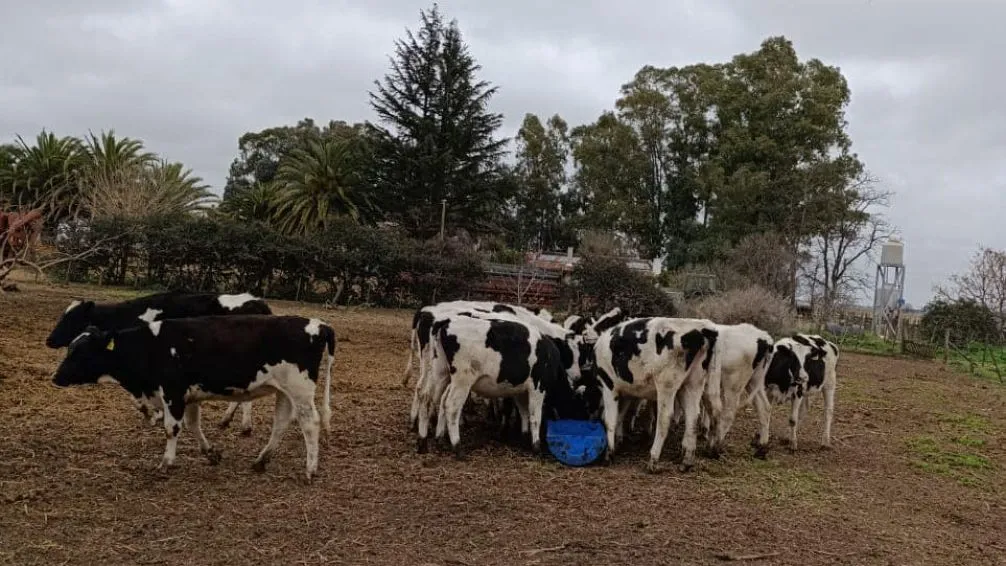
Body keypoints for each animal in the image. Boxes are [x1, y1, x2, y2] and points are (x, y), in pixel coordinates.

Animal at [46, 291, 271, 434]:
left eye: (71, 318)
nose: (49, 340)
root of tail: (258, 302)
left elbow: (139, 399)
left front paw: (153, 415)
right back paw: (229, 421)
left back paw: (244, 425)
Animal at [51, 313, 336, 482]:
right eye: (70, 348)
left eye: (80, 352)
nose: (55, 377)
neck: (151, 346)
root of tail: (318, 324)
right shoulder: (189, 396)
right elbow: (192, 425)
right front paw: (210, 454)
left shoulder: (172, 393)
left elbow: (172, 428)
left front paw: (166, 463)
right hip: (284, 391)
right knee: (281, 424)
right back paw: (261, 460)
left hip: (300, 389)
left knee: (310, 424)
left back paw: (310, 469)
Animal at [418, 317, 571, 458]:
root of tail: (446, 323)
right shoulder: (538, 388)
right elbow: (535, 417)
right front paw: (536, 446)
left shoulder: (520, 390)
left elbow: (524, 412)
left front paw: (523, 437)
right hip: (462, 381)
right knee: (451, 406)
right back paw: (457, 447)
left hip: (441, 373)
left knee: (429, 398)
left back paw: (427, 441)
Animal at [587, 317, 724, 472]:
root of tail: (704, 328)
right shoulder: (627, 391)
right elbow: (621, 414)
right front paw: (618, 441)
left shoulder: (609, 386)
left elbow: (610, 419)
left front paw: (609, 454)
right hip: (698, 382)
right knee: (703, 413)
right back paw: (696, 457)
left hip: (667, 383)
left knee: (665, 417)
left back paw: (653, 460)